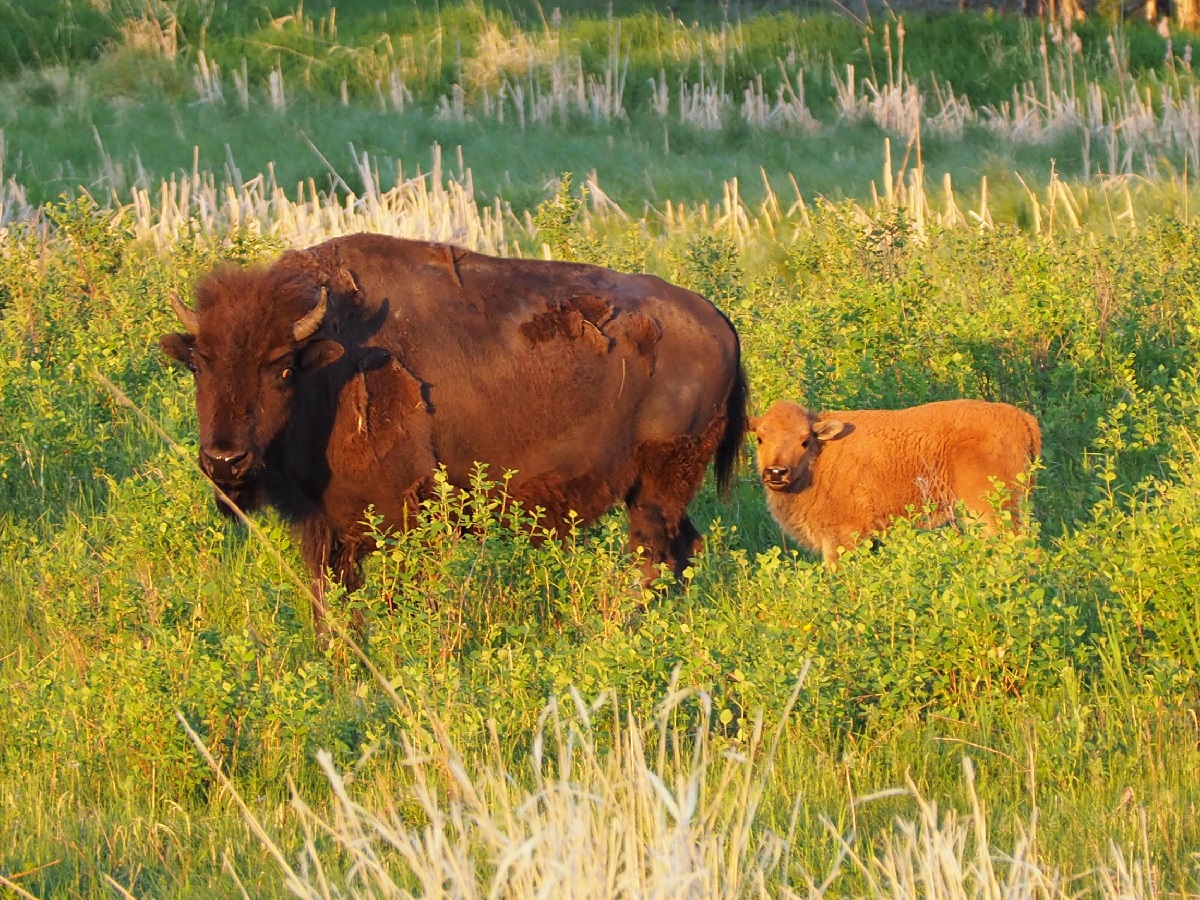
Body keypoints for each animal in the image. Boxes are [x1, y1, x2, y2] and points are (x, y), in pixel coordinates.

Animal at [160, 233, 747, 634]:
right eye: (199, 364)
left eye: (281, 367)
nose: (225, 460)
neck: (329, 363)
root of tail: (718, 320)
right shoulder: (327, 529)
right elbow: (330, 598)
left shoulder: (395, 515)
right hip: (657, 490)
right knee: (682, 549)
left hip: (658, 485)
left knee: (653, 556)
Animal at [751, 398, 1041, 564]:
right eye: (760, 438)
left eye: (804, 440)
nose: (776, 472)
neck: (819, 457)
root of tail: (1022, 418)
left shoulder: (842, 536)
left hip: (992, 511)